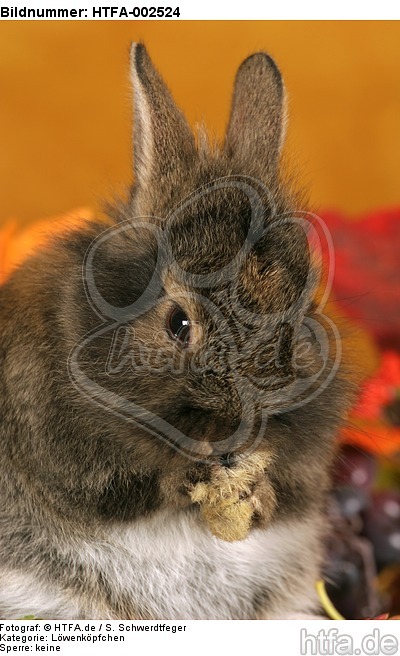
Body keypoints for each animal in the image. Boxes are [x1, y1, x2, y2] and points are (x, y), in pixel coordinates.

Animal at [0, 43, 354, 620]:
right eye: (178, 323)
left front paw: (256, 496)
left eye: (298, 324)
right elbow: (125, 491)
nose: (234, 441)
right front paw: (188, 480)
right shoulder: (67, 455)